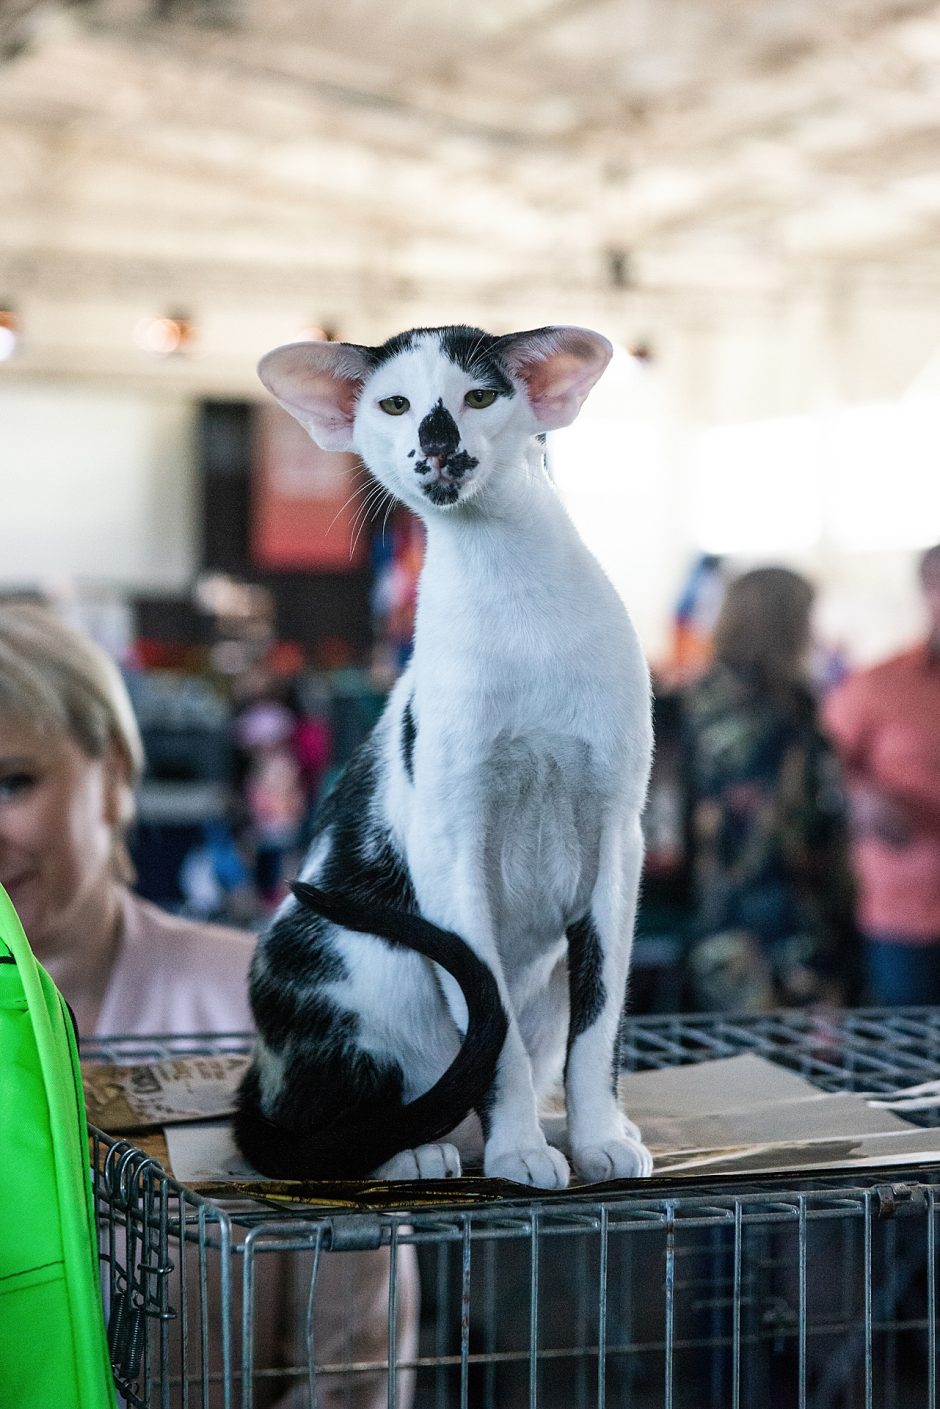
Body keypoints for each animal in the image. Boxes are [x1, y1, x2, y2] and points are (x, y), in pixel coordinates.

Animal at [235, 322, 653, 1189]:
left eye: (480, 396)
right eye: (396, 404)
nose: (438, 442)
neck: (515, 589)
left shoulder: (619, 837)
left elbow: (600, 1020)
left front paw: (598, 1133)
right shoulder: (448, 846)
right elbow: (494, 1039)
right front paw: (519, 1148)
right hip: (356, 957)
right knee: (321, 1129)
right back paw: (413, 1150)